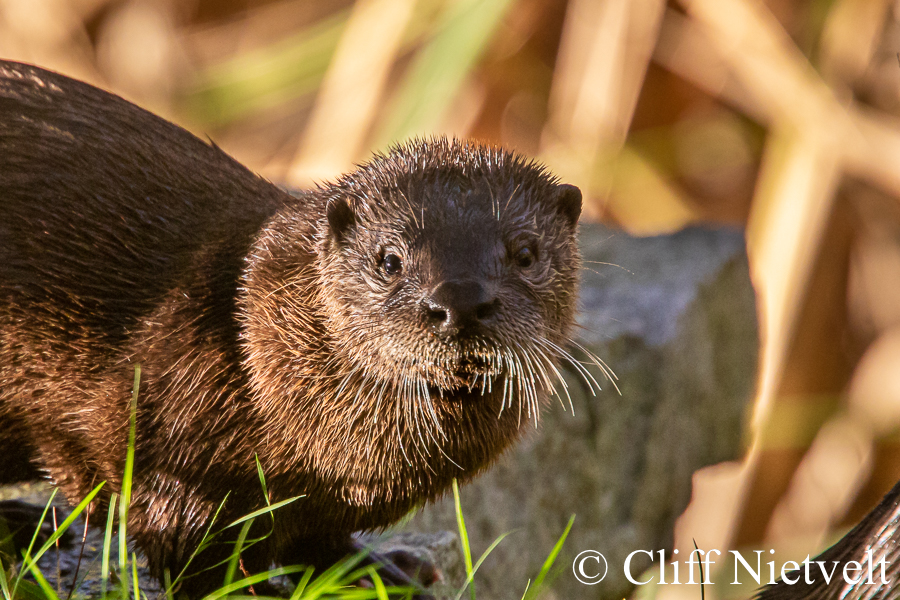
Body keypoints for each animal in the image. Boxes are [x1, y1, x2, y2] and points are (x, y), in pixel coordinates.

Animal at [0, 60, 589, 596]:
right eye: (390, 260)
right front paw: (252, 590)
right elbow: (186, 550)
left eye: (526, 253)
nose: (460, 300)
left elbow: (317, 541)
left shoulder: (324, 503)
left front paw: (382, 567)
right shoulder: (155, 428)